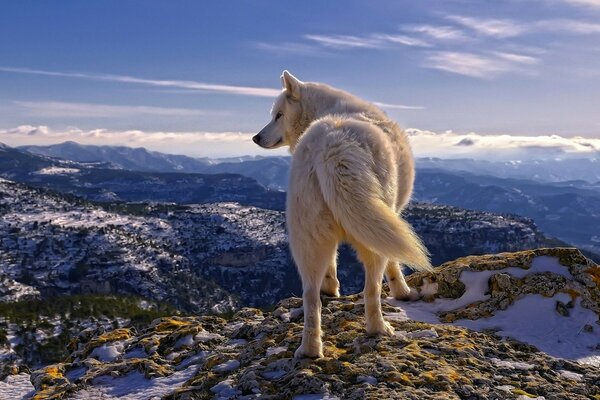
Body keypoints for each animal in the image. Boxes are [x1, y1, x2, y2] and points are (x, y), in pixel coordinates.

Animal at [253, 70, 432, 358]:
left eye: (278, 115)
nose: (256, 138)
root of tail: (331, 146)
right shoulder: (390, 215)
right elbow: (394, 264)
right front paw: (403, 292)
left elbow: (332, 264)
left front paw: (331, 289)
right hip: (370, 234)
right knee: (371, 289)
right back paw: (379, 329)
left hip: (307, 238)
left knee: (310, 295)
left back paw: (310, 349)